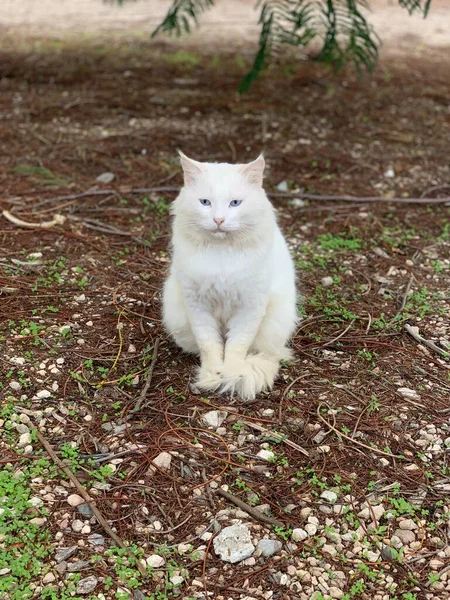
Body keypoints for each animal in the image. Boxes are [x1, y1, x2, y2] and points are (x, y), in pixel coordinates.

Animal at [163, 152, 298, 400]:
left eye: (235, 203)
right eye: (205, 202)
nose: (218, 220)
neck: (221, 254)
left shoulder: (250, 308)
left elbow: (236, 347)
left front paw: (233, 375)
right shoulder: (197, 306)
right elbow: (210, 345)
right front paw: (213, 376)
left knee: (266, 354)